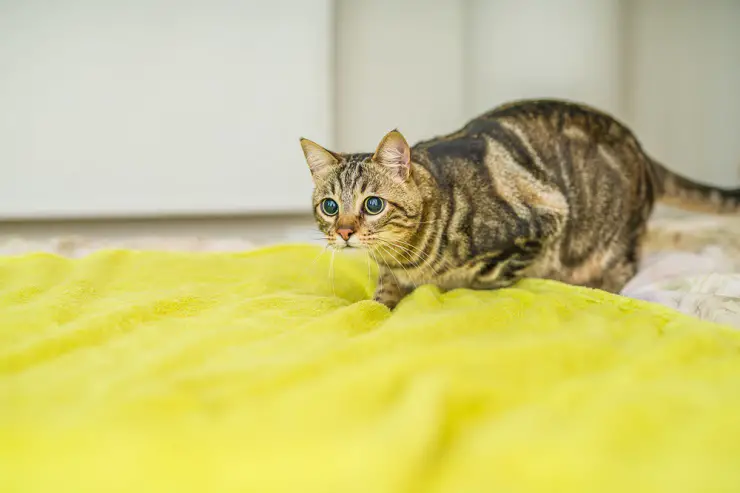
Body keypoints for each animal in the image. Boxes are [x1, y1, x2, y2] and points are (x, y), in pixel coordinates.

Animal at [298, 98, 736, 310]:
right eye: (330, 207)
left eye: (373, 204)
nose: (344, 232)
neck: (406, 258)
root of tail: (642, 151)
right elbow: (381, 296)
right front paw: (381, 303)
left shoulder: (542, 221)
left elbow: (486, 280)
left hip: (610, 239)